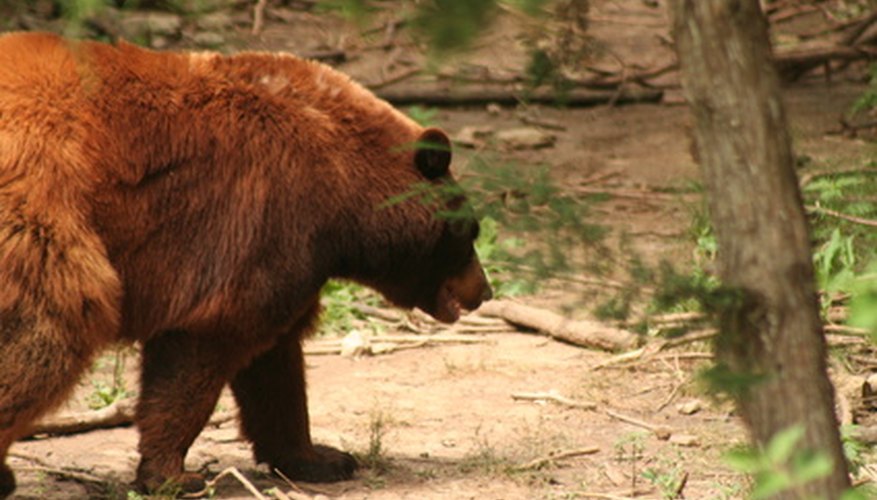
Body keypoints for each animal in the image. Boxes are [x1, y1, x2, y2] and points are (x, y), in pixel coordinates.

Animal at [0, 31, 492, 496]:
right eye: (469, 231)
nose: (484, 291)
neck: (342, 184)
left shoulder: (289, 250)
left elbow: (275, 366)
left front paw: (320, 458)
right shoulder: (259, 219)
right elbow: (200, 351)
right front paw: (173, 475)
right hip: (47, 220)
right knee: (44, 338)